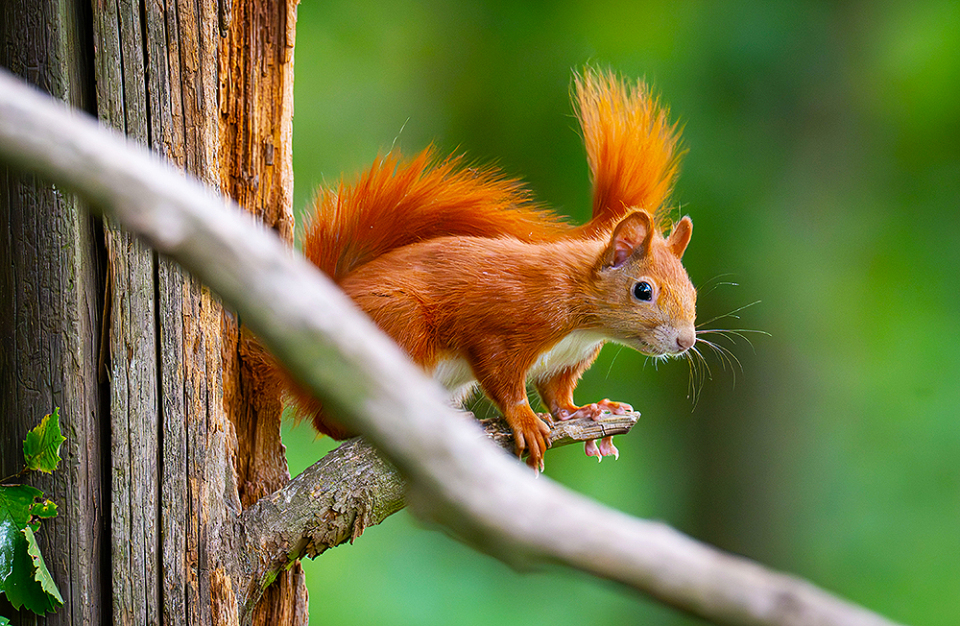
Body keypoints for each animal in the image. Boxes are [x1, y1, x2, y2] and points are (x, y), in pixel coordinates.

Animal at [287, 68, 696, 471]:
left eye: (693, 293)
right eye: (643, 290)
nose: (686, 341)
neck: (582, 317)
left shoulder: (564, 362)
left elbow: (559, 398)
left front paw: (589, 409)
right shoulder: (503, 325)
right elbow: (502, 379)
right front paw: (525, 420)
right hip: (398, 325)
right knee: (330, 418)